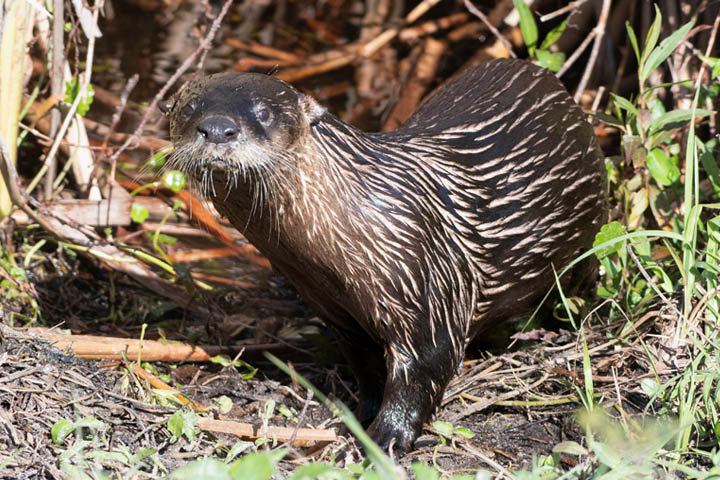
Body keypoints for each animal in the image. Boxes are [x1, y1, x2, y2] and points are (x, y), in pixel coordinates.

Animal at [162, 58, 605, 452]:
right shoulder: (338, 311)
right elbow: (367, 366)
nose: (218, 128)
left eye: (264, 112)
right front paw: (362, 415)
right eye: (190, 107)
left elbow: (425, 365)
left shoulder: (428, 284)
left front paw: (387, 436)